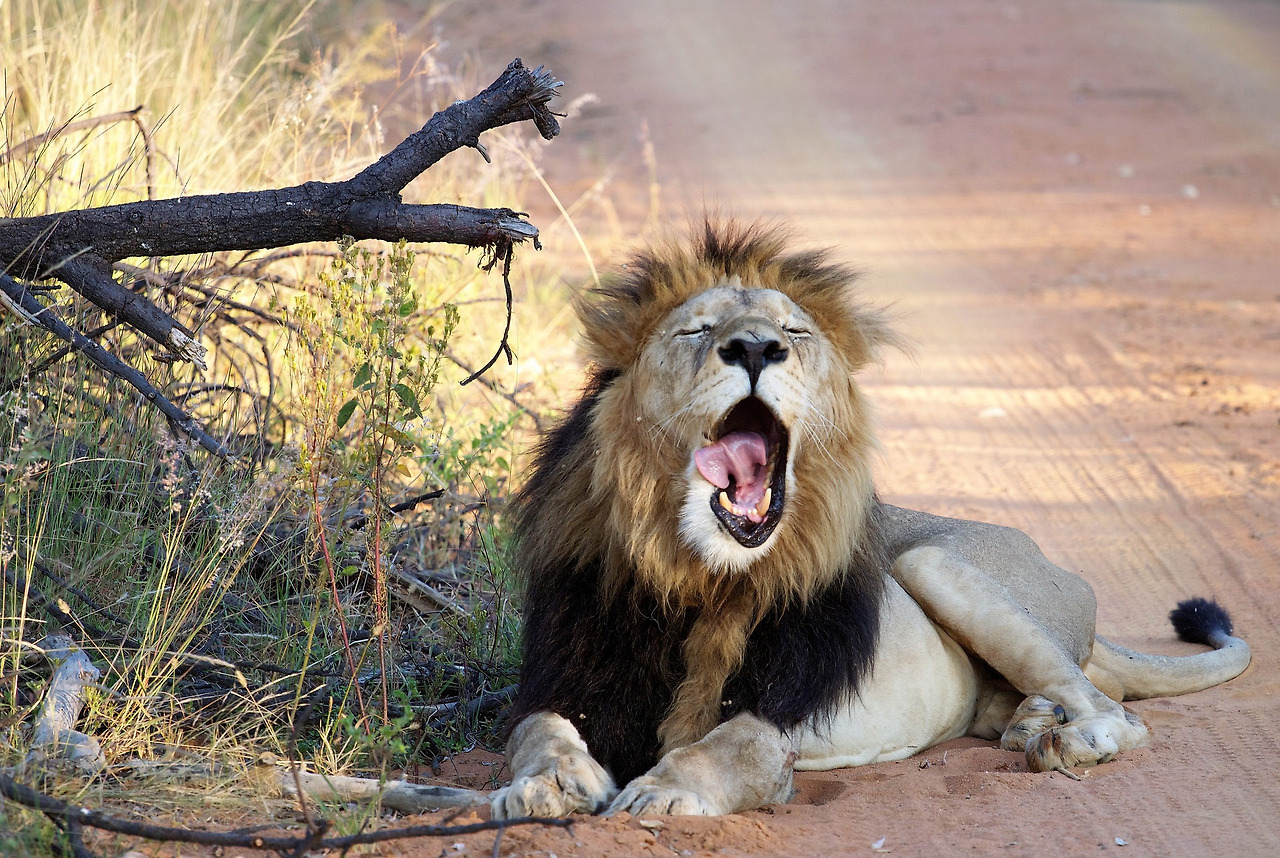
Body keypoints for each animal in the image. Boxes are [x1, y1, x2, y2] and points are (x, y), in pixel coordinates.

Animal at [490, 222, 1252, 819]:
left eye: (792, 331)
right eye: (697, 330)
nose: (757, 349)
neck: (695, 572)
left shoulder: (786, 707)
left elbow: (734, 742)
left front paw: (661, 791)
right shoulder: (568, 671)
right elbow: (536, 729)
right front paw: (545, 784)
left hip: (930, 562)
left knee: (1116, 710)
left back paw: (1066, 737)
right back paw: (1029, 721)